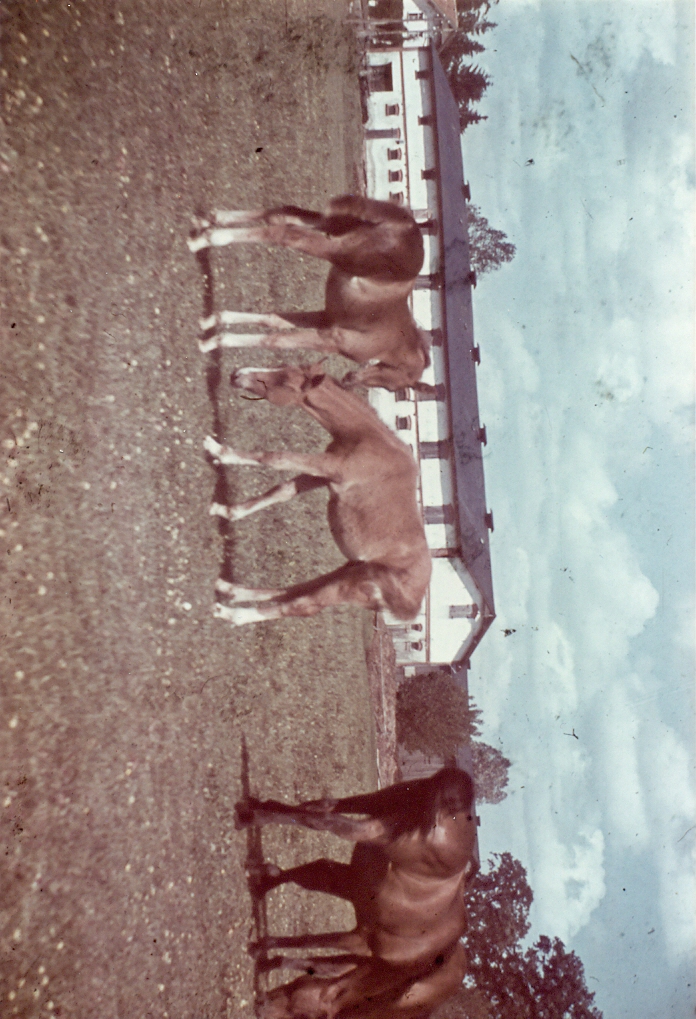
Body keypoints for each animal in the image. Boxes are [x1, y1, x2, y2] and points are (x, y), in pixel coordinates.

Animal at [188, 194, 435, 393]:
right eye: (393, 387)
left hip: (332, 224)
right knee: (284, 233)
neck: (394, 343)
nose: (348, 381)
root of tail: (405, 223)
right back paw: (203, 240)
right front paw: (211, 343)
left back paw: (205, 221)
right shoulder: (332, 340)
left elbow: (273, 321)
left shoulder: (326, 317)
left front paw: (211, 323)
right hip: (334, 246)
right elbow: (276, 341)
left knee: (282, 214)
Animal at [204, 363, 431, 626]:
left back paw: (232, 613)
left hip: (354, 584)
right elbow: (282, 490)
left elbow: (274, 457)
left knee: (302, 605)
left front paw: (217, 450)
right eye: (282, 366)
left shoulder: (329, 466)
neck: (369, 439)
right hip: (349, 569)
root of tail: (412, 606)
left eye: (285, 381)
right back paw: (229, 589)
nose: (237, 374)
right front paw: (223, 510)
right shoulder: (324, 476)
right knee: (295, 589)